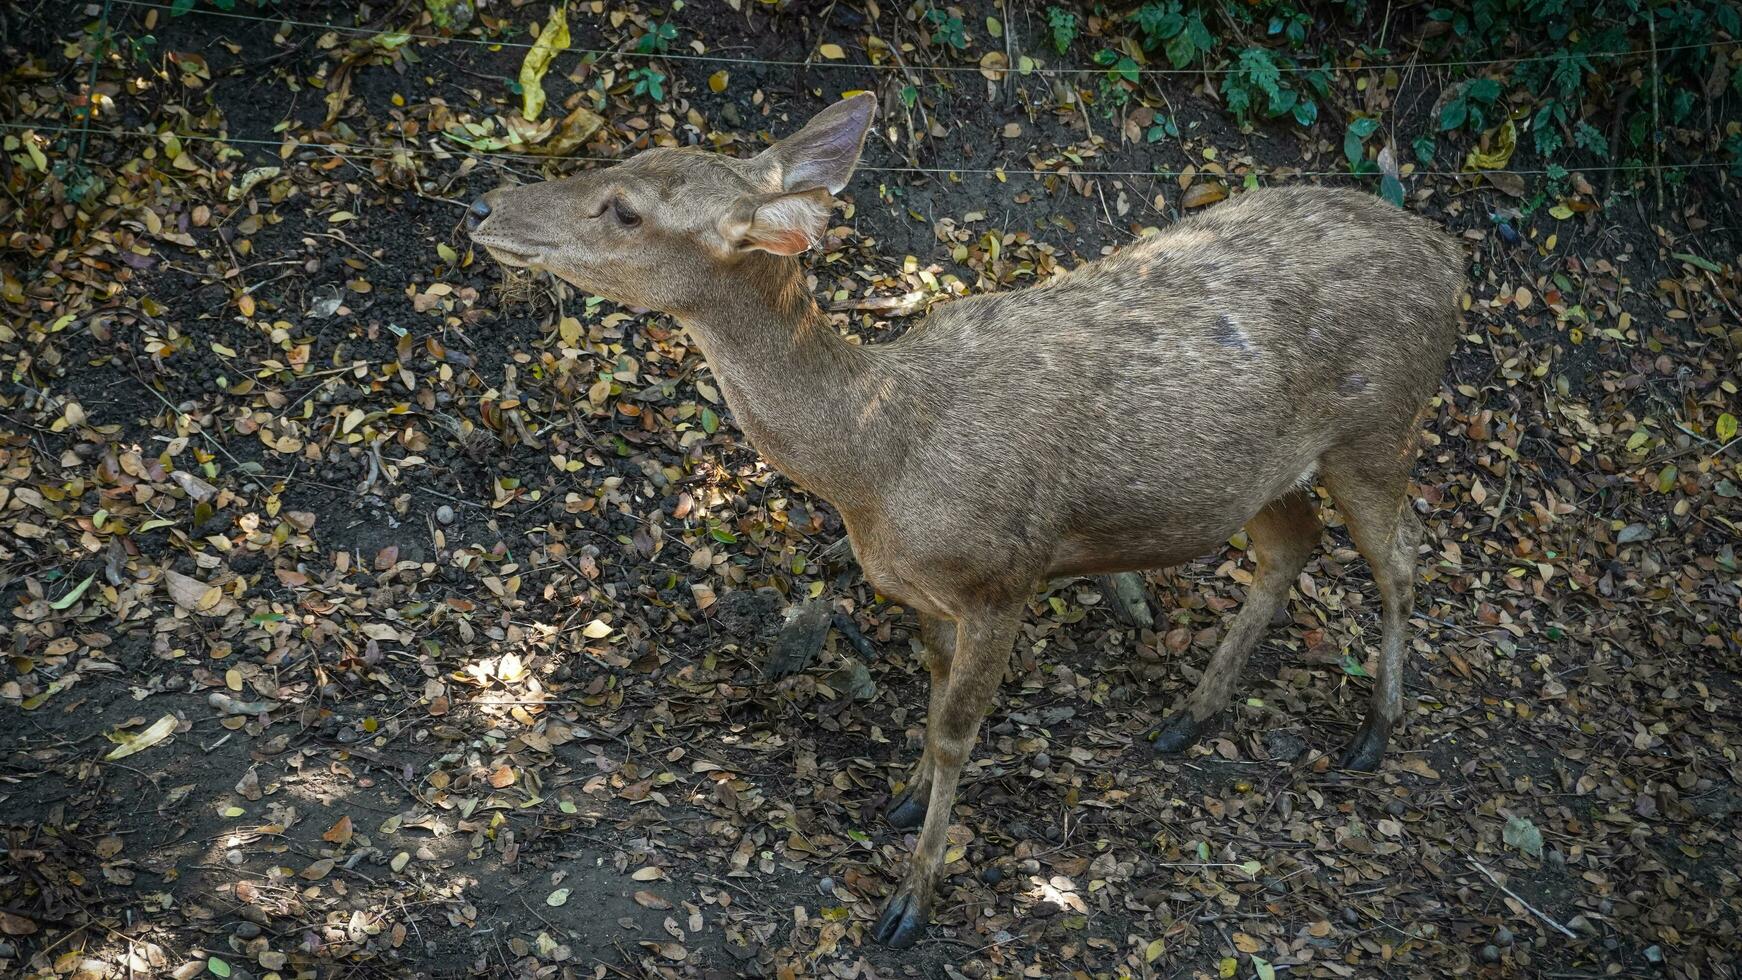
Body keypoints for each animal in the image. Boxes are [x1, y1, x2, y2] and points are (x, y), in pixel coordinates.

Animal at [466, 93, 1470, 953]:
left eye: (625, 210)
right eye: (616, 160)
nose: (484, 202)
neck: (877, 465)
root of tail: (1446, 251)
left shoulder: (1003, 578)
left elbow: (958, 730)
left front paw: (910, 901)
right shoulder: (920, 591)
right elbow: (933, 686)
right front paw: (906, 799)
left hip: (1380, 425)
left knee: (1401, 557)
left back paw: (1376, 731)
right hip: (1269, 473)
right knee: (1291, 547)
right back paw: (1187, 717)